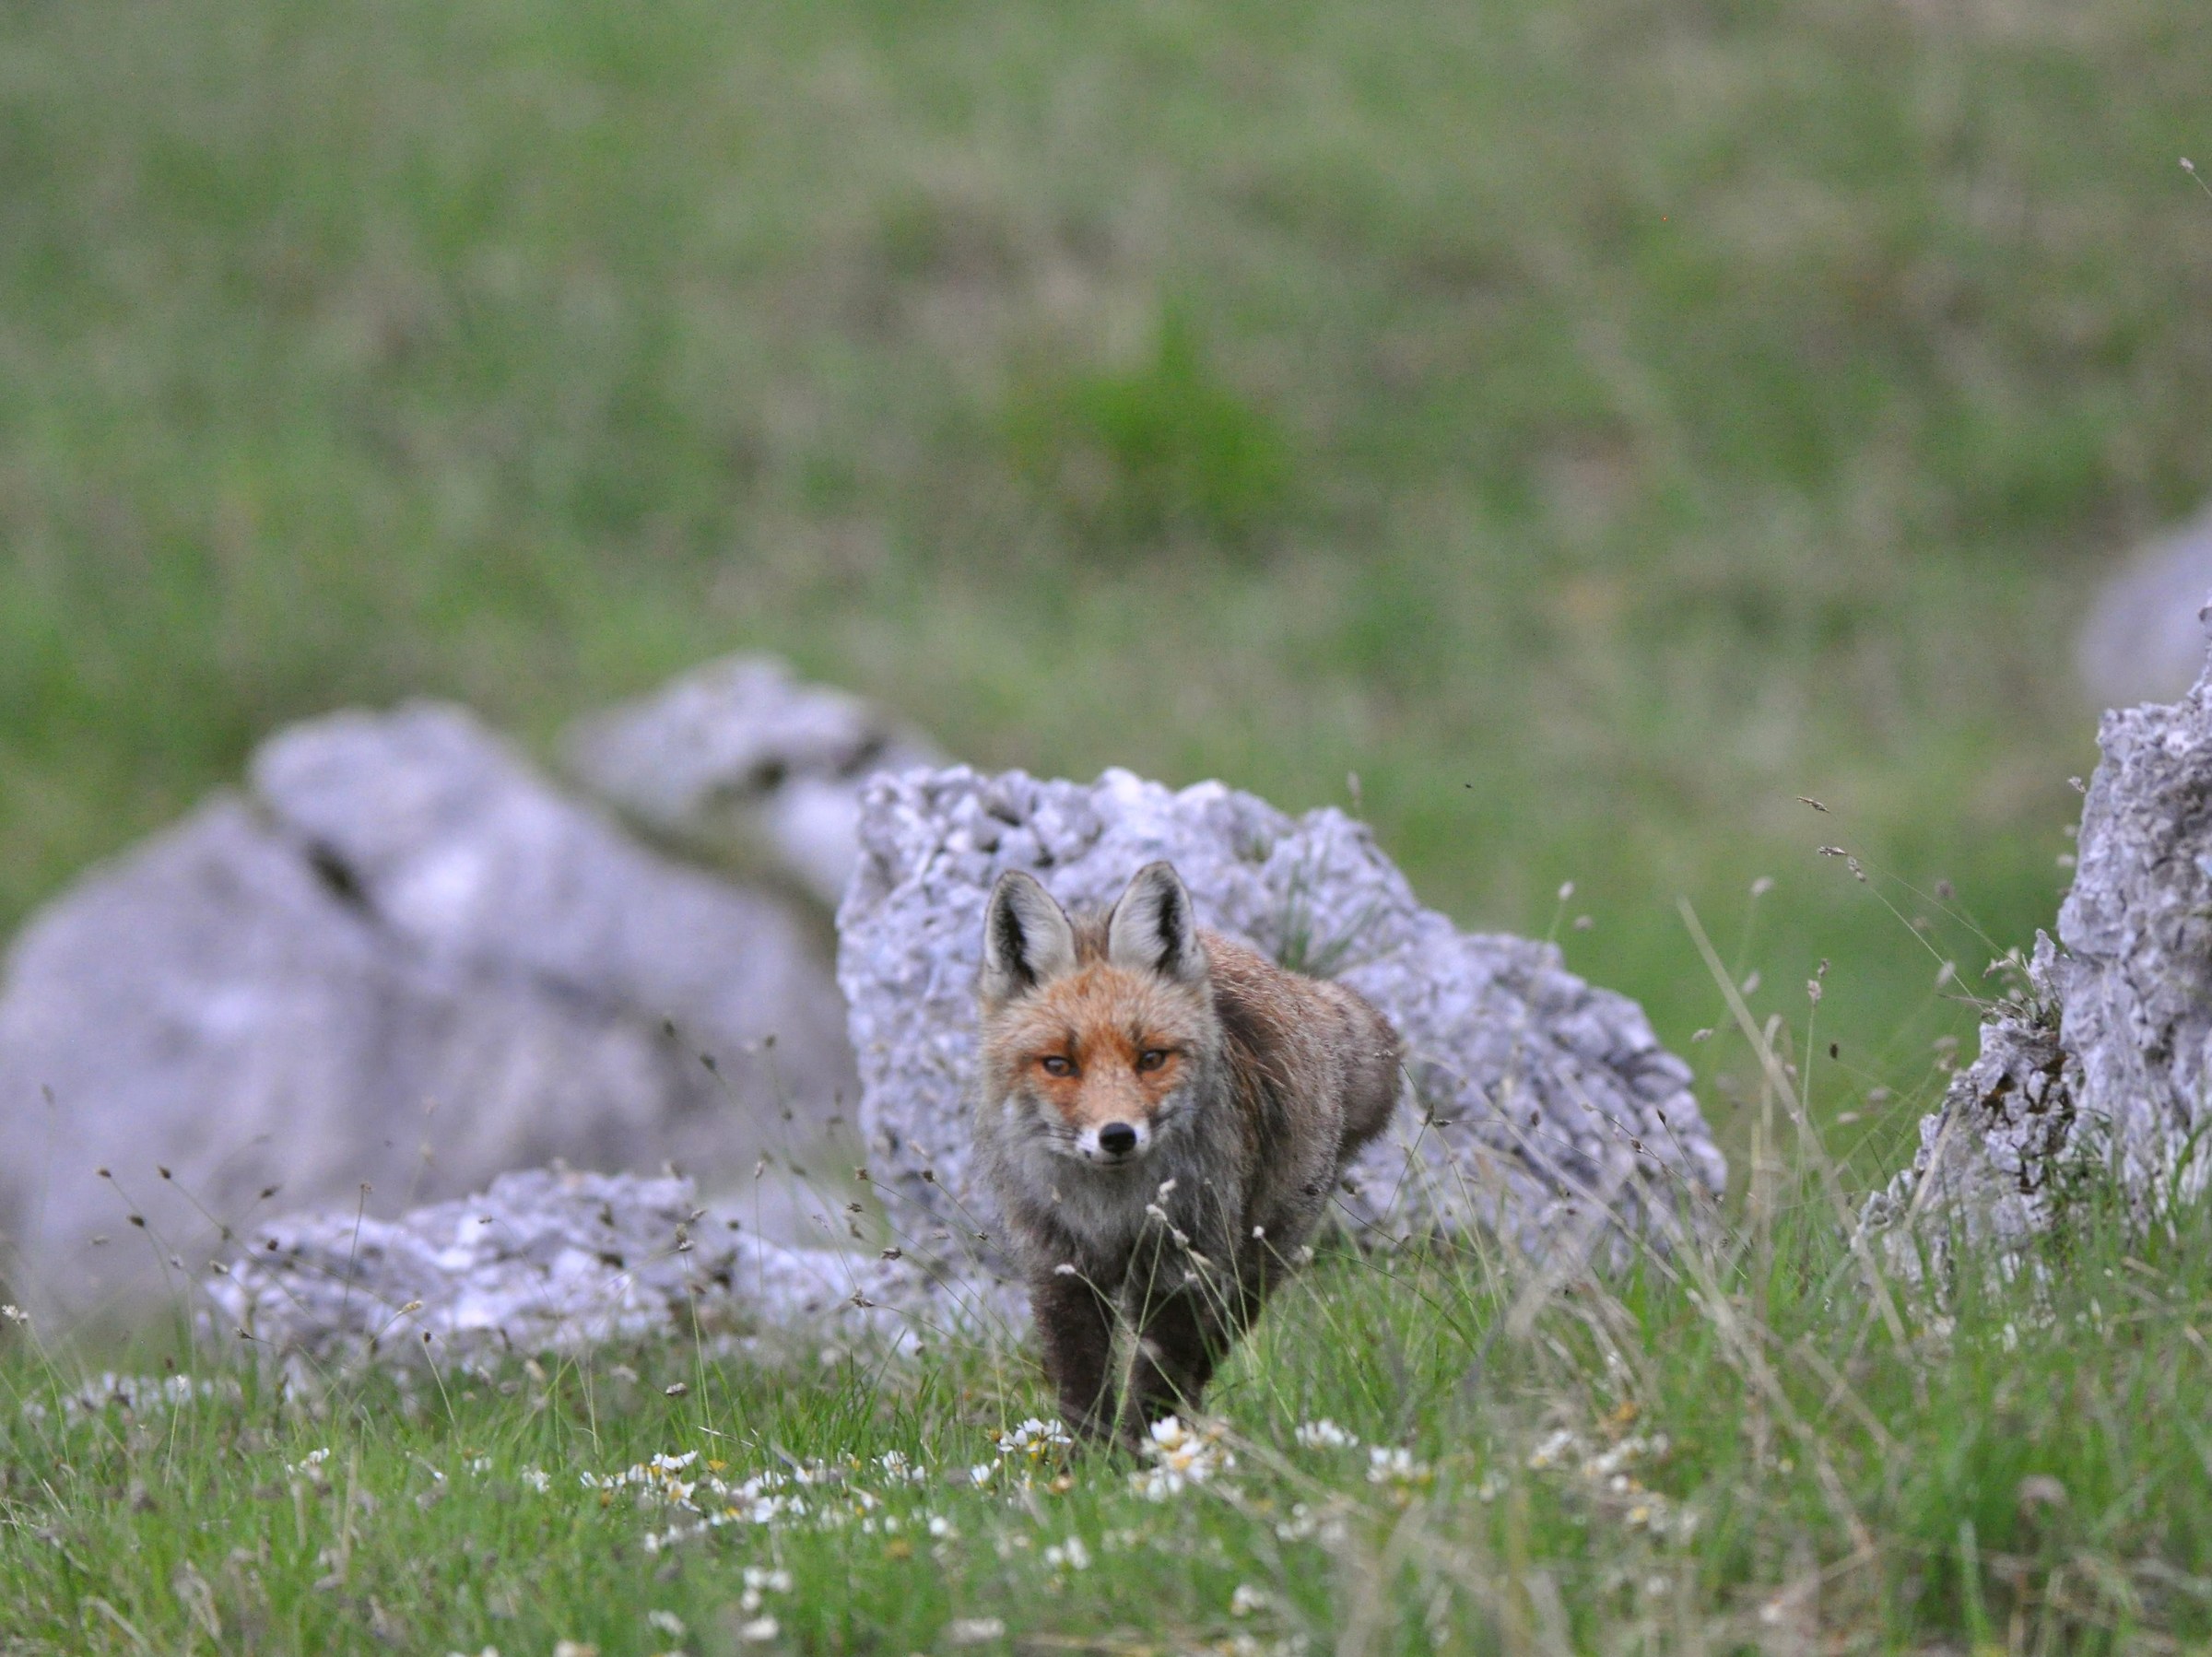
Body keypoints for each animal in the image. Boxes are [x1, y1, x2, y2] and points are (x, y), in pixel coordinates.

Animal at [971, 859, 1402, 1446]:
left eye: (1151, 1058)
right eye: (1059, 1064)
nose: (1117, 1136)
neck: (1114, 1211)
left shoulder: (1182, 1267)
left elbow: (1155, 1387)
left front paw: (1144, 1458)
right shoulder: (1060, 1267)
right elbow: (1083, 1391)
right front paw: (1087, 1463)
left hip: (1253, 1266)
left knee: (1204, 1358)